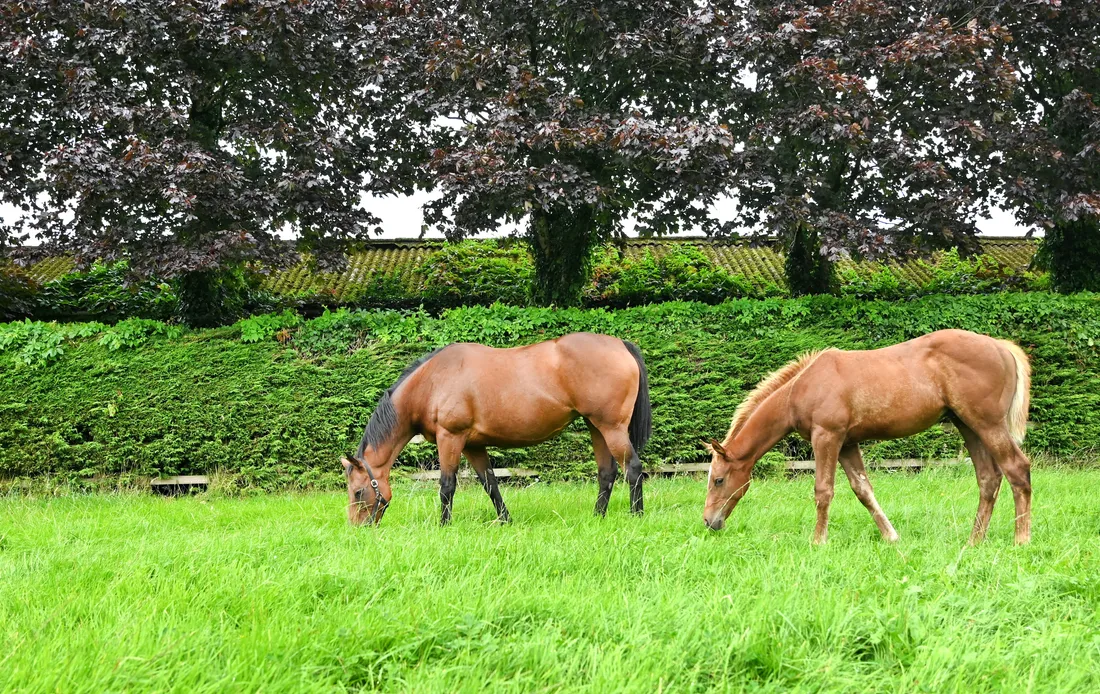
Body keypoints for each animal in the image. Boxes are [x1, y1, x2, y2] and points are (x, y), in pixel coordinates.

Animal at [343, 334, 646, 525]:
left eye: (358, 492)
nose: (357, 529)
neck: (432, 381)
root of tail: (620, 345)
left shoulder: (450, 438)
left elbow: (446, 485)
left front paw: (444, 525)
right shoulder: (473, 445)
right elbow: (491, 484)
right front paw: (506, 520)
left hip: (612, 428)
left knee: (633, 467)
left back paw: (636, 517)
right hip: (596, 427)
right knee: (607, 473)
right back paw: (597, 517)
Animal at [704, 332, 1029, 547]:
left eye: (718, 480)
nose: (708, 521)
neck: (801, 388)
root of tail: (1001, 347)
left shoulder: (827, 437)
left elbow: (823, 490)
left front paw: (818, 542)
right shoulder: (847, 443)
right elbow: (863, 490)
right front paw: (891, 536)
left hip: (987, 424)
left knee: (1017, 469)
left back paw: (1021, 540)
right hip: (967, 425)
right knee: (988, 478)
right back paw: (974, 541)